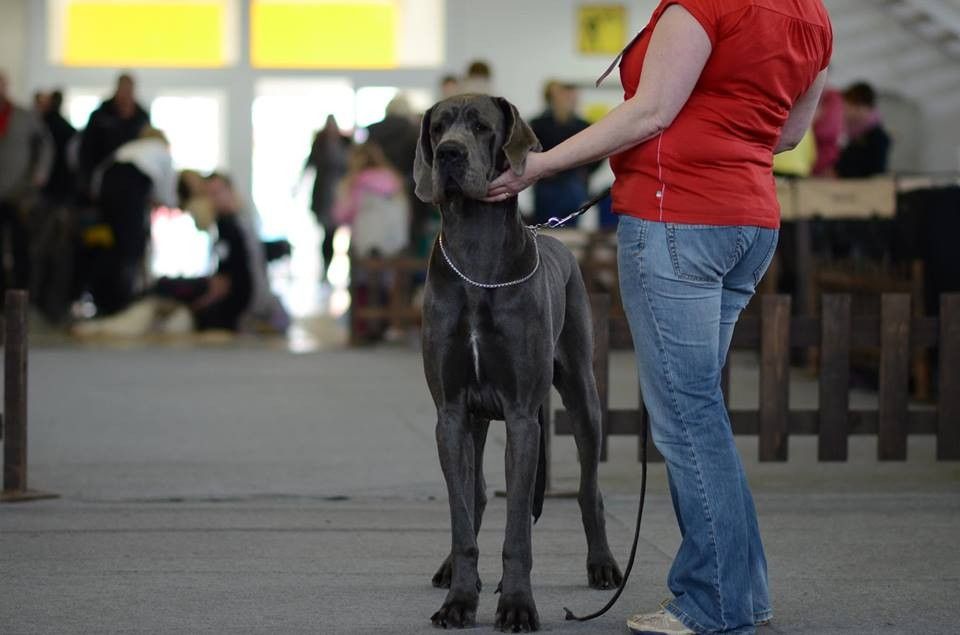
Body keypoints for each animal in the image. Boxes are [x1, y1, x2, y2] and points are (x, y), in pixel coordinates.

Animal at [414, 94, 622, 632]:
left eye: (482, 127)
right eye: (438, 127)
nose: (448, 154)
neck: (476, 261)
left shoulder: (523, 415)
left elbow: (517, 535)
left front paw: (517, 605)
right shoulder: (451, 413)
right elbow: (463, 516)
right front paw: (460, 600)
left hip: (583, 396)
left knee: (590, 491)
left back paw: (603, 565)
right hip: (477, 419)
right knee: (476, 494)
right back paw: (451, 570)